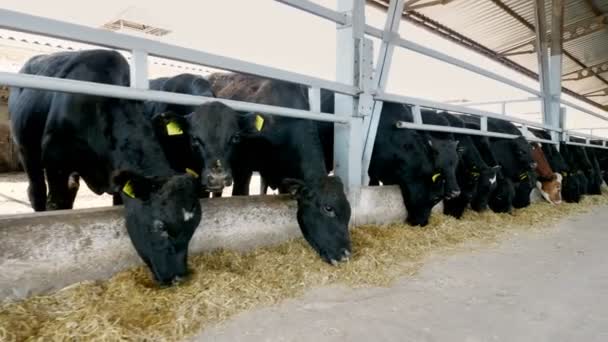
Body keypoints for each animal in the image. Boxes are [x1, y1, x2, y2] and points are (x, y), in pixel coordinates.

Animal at [8, 50, 202, 286]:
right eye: (160, 226)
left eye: (192, 229)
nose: (178, 277)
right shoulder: (55, 163)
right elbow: (55, 204)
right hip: (27, 151)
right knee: (36, 190)